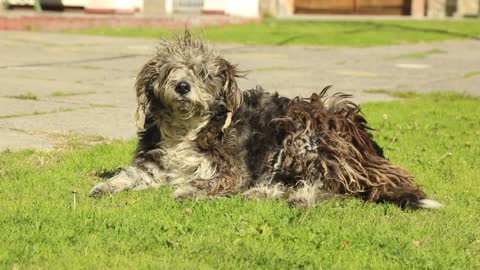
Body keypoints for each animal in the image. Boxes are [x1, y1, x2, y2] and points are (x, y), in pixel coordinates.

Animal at [89, 31, 442, 209]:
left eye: (202, 72)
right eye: (169, 70)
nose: (182, 86)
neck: (188, 128)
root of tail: (368, 151)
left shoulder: (232, 171)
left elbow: (205, 181)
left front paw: (188, 191)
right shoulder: (154, 163)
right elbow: (129, 175)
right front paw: (104, 186)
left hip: (303, 129)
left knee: (329, 186)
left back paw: (293, 197)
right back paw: (267, 193)